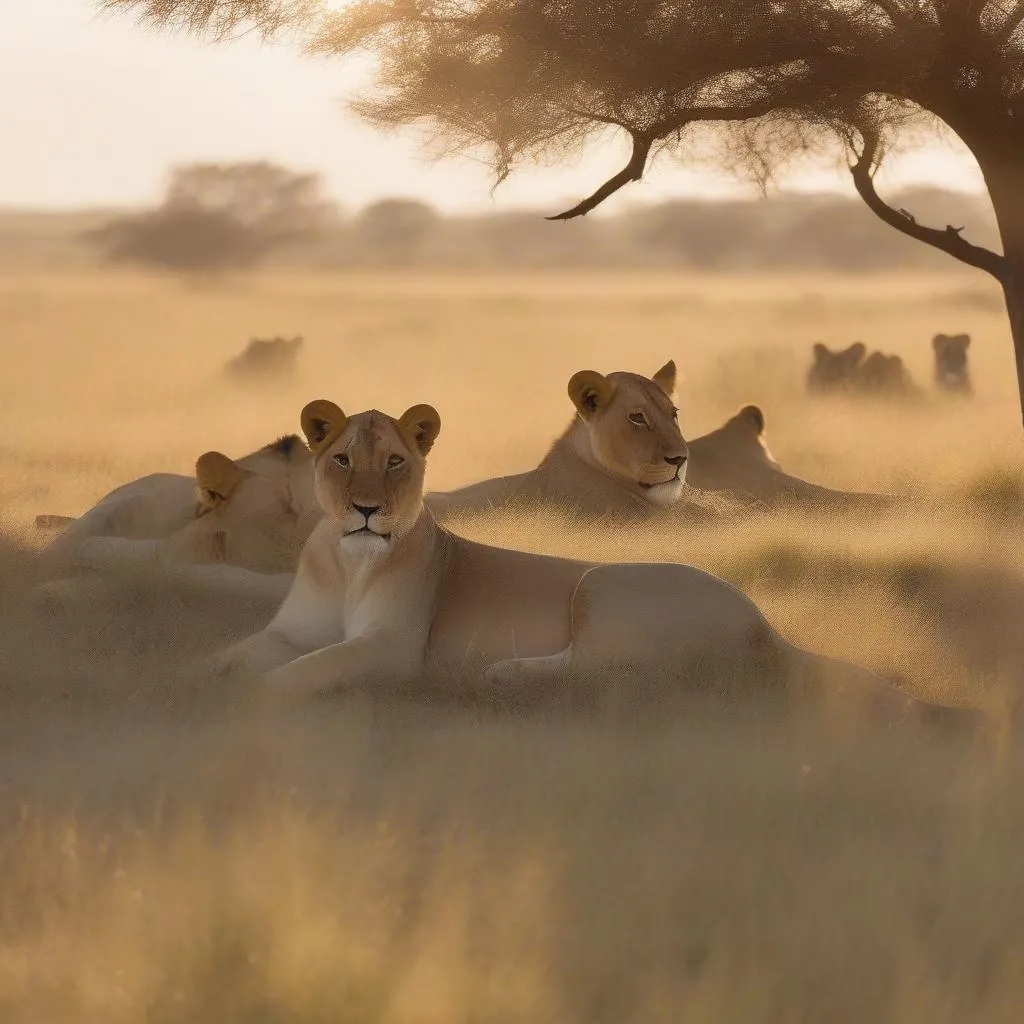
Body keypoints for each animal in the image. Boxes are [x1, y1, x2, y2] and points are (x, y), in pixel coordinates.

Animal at [216, 391, 921, 720]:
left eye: (394, 462)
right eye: (341, 460)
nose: (366, 509)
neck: (346, 559)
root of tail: (765, 625)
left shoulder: (392, 646)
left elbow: (307, 670)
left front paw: (249, 697)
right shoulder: (287, 631)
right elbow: (239, 653)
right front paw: (201, 678)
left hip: (602, 586)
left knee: (612, 673)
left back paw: (496, 672)